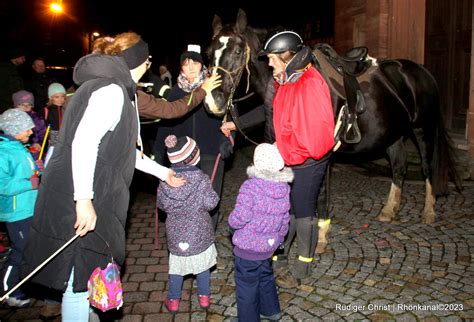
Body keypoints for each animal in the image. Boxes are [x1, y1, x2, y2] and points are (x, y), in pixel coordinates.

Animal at [205, 7, 462, 225]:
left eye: (238, 50)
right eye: (208, 53)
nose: (213, 101)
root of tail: (422, 71)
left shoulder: (321, 153)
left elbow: (318, 195)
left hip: (423, 129)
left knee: (428, 166)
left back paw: (428, 212)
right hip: (393, 133)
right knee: (399, 167)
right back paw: (389, 210)